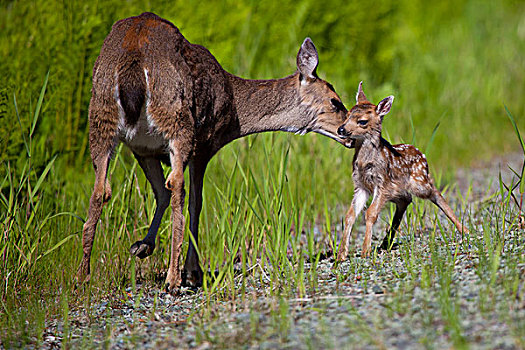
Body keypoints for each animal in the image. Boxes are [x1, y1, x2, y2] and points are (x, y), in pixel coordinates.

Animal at [78, 12, 348, 292]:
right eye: (335, 101)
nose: (347, 131)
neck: (234, 113)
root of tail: (134, 57)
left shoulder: (144, 148)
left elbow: (161, 194)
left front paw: (143, 246)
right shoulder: (204, 146)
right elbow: (195, 203)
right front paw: (191, 272)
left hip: (100, 117)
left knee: (101, 190)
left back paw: (83, 277)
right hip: (177, 119)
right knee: (177, 185)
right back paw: (173, 280)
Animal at [338, 82, 468, 260]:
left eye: (362, 121)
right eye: (347, 115)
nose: (341, 130)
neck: (366, 162)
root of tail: (423, 157)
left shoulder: (383, 183)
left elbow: (370, 213)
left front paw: (365, 251)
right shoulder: (361, 185)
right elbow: (350, 215)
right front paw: (341, 255)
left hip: (419, 183)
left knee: (434, 192)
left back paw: (465, 230)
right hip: (399, 191)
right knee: (406, 200)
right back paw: (385, 243)